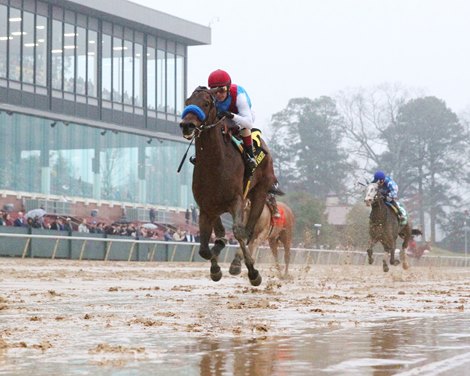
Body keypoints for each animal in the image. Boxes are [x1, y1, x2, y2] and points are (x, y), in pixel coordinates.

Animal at [178, 85, 278, 284]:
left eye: (206, 103)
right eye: (187, 102)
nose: (187, 125)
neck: (215, 163)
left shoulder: (236, 200)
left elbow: (238, 232)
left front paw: (253, 272)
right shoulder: (206, 207)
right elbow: (205, 248)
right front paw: (215, 266)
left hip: (259, 193)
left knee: (248, 230)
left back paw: (238, 263)